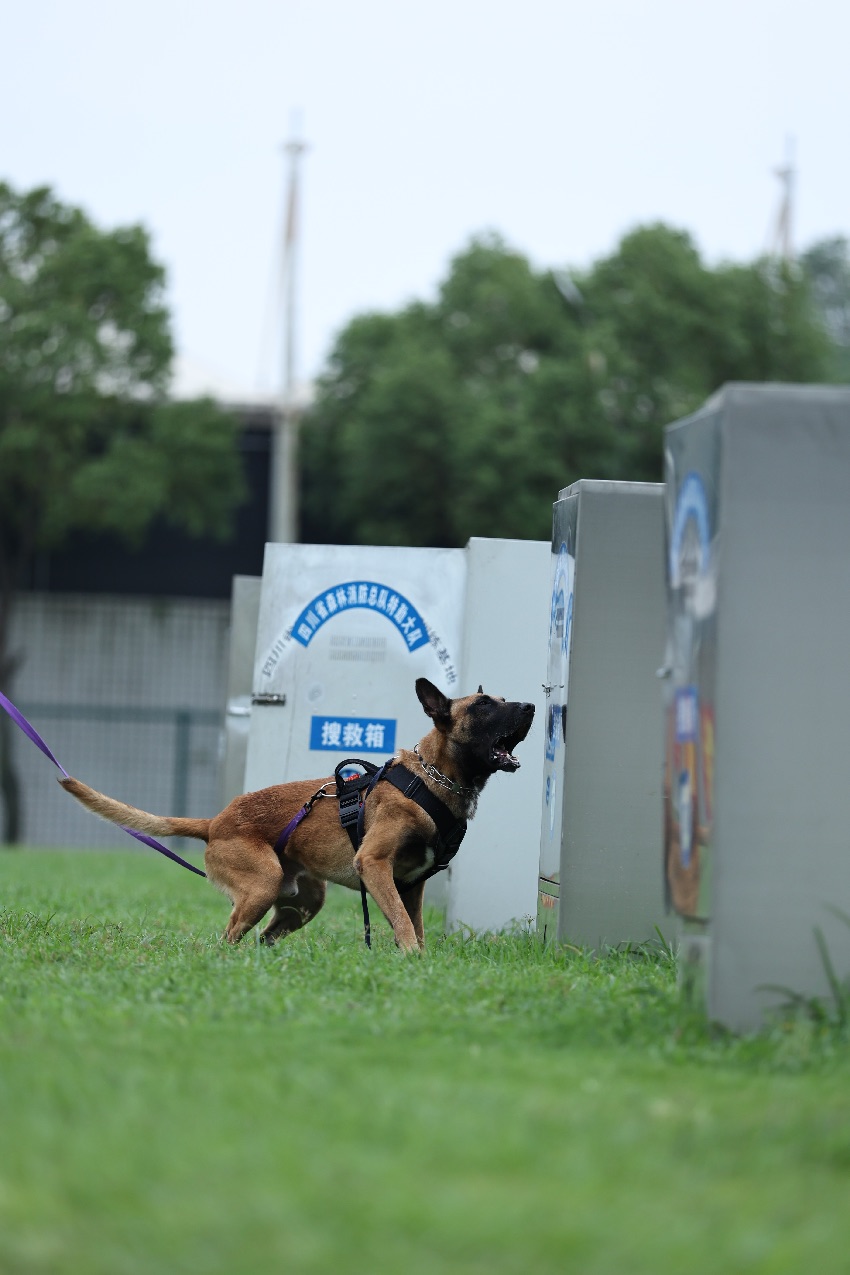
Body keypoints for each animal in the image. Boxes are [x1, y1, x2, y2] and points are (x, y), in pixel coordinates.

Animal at [63, 683, 535, 953]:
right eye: (483, 705)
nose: (532, 705)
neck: (433, 780)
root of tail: (215, 822)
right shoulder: (374, 865)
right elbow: (403, 926)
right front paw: (412, 961)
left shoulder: (411, 885)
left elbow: (413, 925)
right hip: (262, 885)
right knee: (227, 938)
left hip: (303, 902)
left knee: (259, 939)